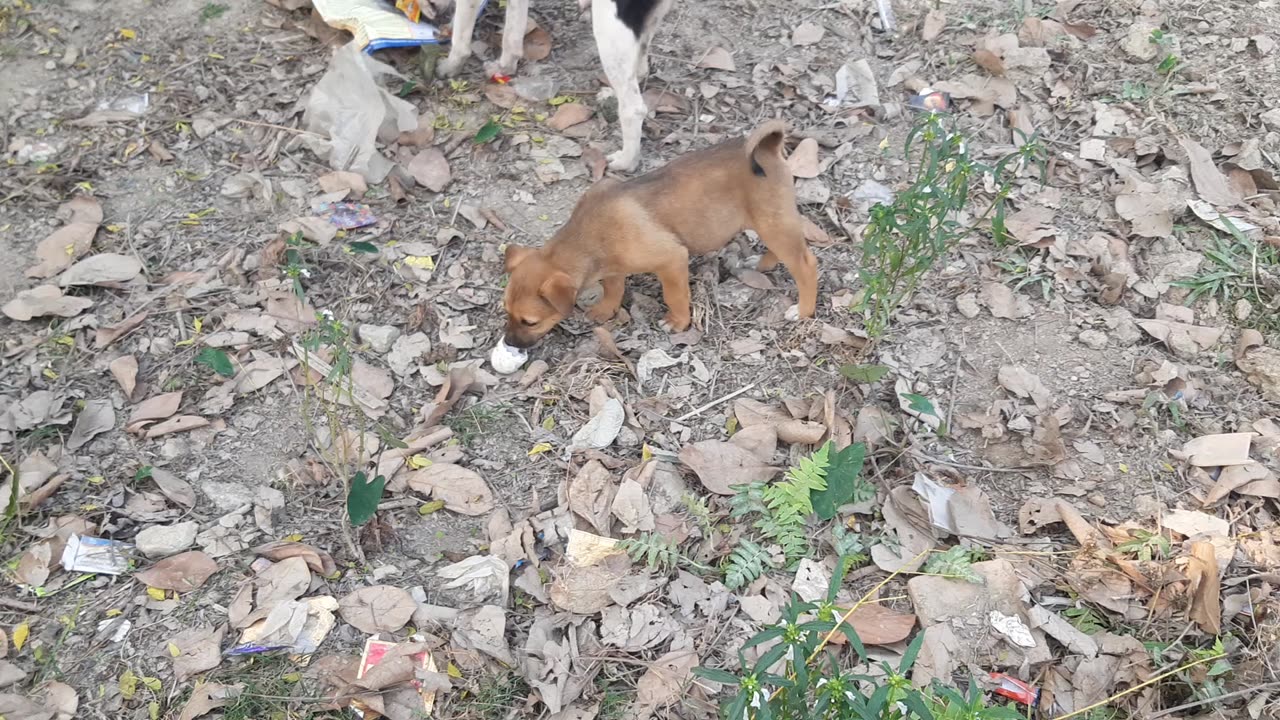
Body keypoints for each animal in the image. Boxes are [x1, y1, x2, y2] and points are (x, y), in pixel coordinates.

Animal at [440, 0, 675, 170]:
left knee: (633, 108)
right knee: (640, 62)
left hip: (610, 27)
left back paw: (627, 161)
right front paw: (505, 66)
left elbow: (461, 35)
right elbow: (513, 32)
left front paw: (450, 65)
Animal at [501, 120, 819, 348]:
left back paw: (803, 310)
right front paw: (605, 310)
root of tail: (767, 148)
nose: (509, 343)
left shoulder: (672, 259)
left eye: (530, 322)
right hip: (769, 222)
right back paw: (762, 265)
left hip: (773, 222)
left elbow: (674, 295)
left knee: (806, 264)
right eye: (506, 311)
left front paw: (677, 322)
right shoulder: (614, 267)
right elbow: (613, 289)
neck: (589, 235)